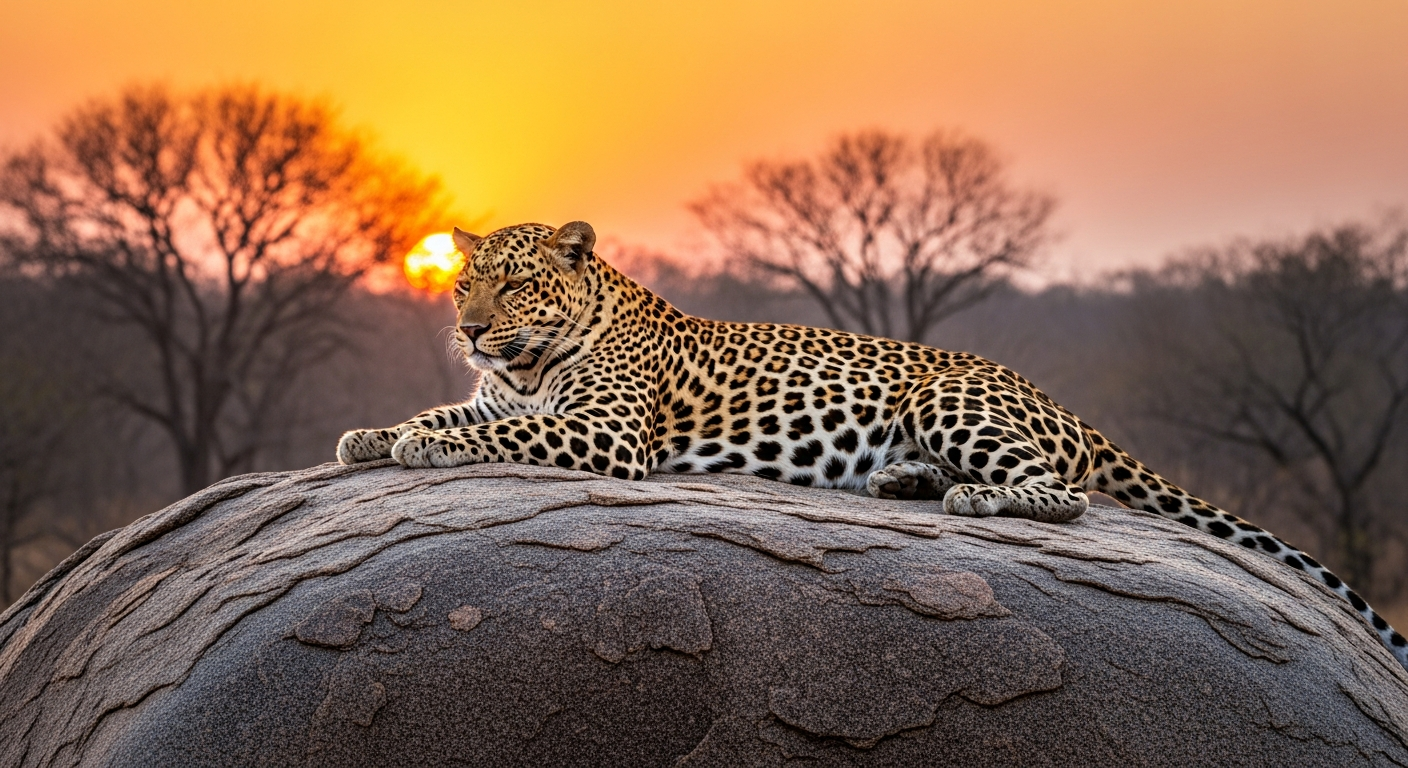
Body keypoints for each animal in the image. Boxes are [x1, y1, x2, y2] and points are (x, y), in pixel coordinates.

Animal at [338, 220, 1408, 669]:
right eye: (463, 281)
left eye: (515, 283)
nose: (471, 328)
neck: (529, 360)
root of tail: (1055, 398)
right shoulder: (497, 397)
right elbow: (452, 416)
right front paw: (371, 434)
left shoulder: (601, 433)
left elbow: (506, 433)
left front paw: (418, 452)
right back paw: (899, 483)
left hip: (952, 402)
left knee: (1062, 493)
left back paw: (970, 498)